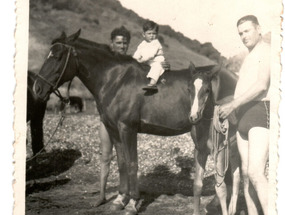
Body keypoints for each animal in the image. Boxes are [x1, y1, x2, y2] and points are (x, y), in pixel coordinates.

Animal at [32, 29, 236, 215]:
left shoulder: (127, 128)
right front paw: (120, 199)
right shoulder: (114, 129)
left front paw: (132, 204)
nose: (37, 88)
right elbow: (122, 162)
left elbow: (132, 164)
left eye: (58, 56)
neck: (116, 80)